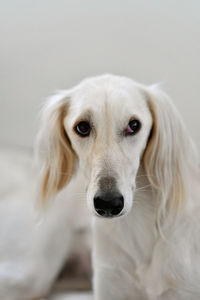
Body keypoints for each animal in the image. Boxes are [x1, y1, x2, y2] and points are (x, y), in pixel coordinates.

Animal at [37, 73, 200, 300]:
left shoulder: (181, 289)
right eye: (82, 127)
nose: (108, 204)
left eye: (134, 125)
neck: (138, 225)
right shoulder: (110, 283)